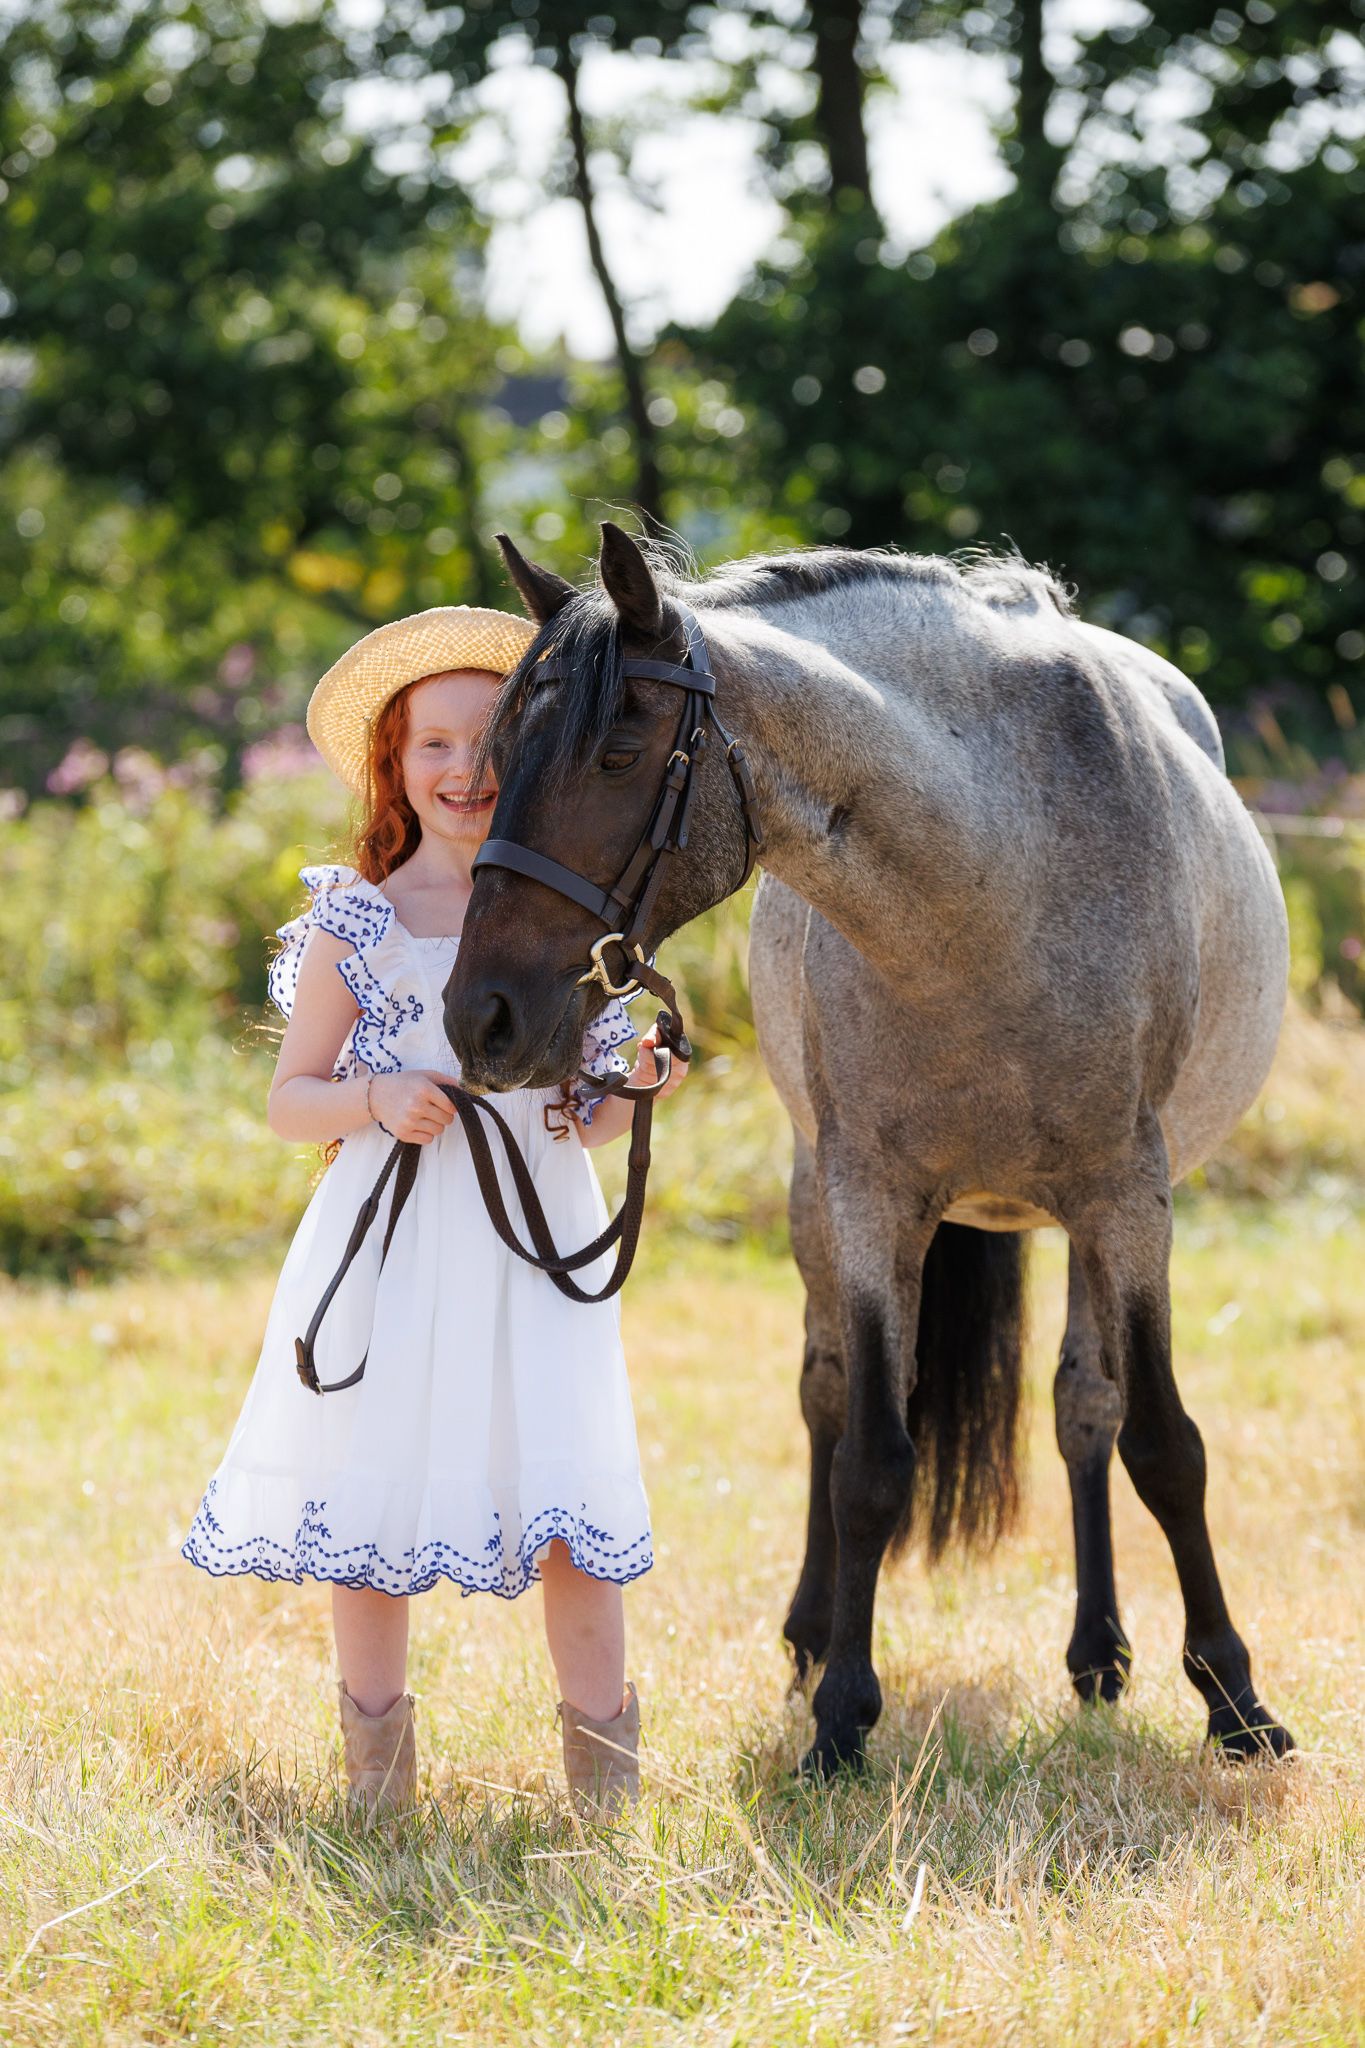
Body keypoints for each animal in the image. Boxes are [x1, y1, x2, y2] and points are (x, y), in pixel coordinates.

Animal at [445, 521, 1294, 1775]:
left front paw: (1236, 1699)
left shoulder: (1129, 1199)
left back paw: (1098, 1650)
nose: (480, 1019)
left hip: (1087, 1221)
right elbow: (871, 1460)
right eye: (501, 752)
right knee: (831, 1393)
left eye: (620, 751)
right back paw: (813, 1633)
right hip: (823, 1203)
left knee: (1083, 1410)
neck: (991, 885)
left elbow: (1162, 1442)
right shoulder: (868, 1199)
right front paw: (843, 1713)